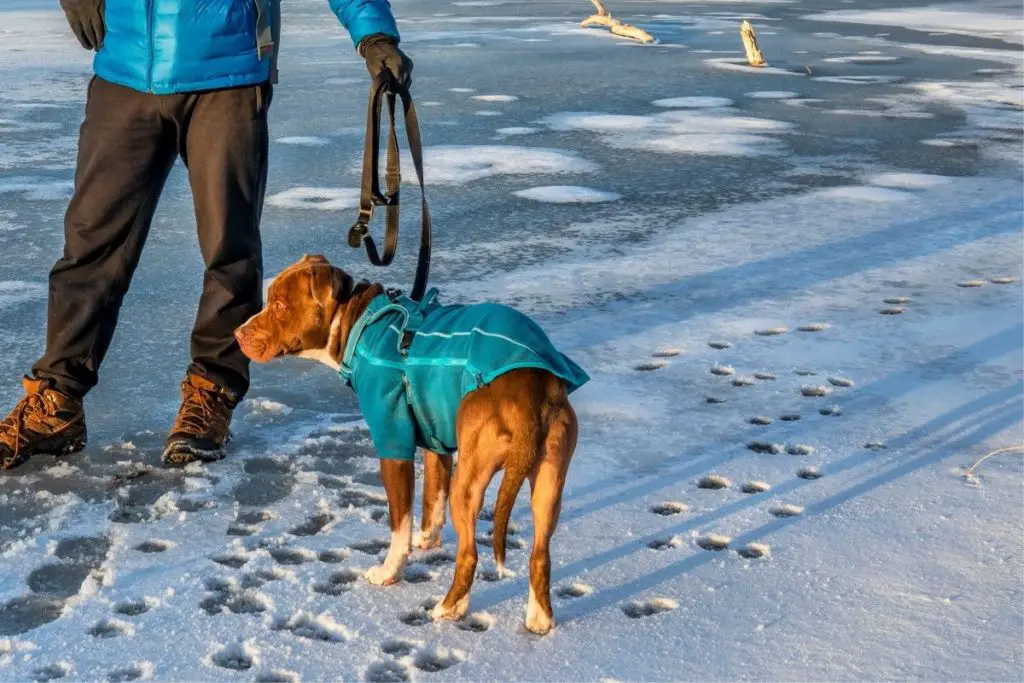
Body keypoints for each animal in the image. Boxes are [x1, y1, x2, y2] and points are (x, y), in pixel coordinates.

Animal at [232, 255, 585, 634]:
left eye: (279, 305)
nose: (237, 333)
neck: (359, 321)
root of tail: (532, 388)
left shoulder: (393, 446)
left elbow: (399, 523)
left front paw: (390, 570)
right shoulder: (436, 442)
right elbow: (433, 496)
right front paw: (427, 540)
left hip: (470, 482)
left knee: (469, 553)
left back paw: (450, 607)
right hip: (549, 481)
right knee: (540, 553)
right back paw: (539, 617)